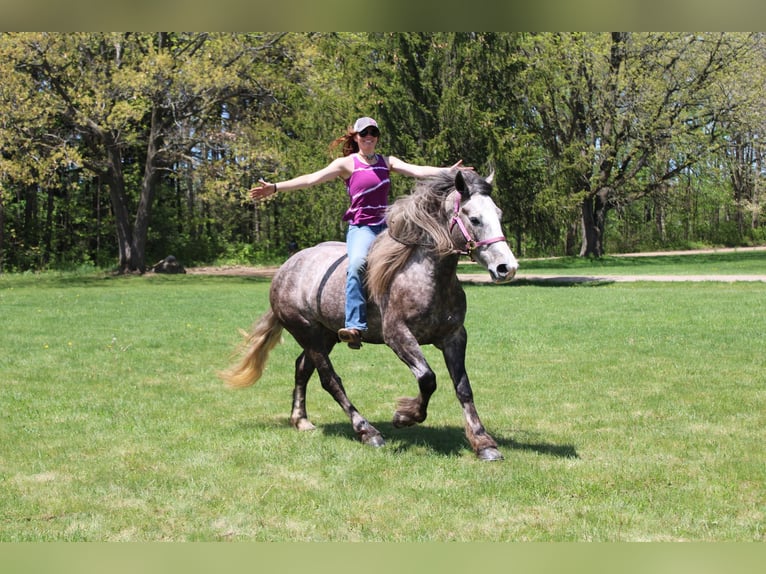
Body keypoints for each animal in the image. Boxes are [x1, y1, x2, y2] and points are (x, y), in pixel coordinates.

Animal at [221, 169, 518, 460]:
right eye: (474, 218)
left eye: (499, 214)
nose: (507, 267)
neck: (427, 275)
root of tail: (285, 269)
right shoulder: (397, 336)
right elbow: (427, 378)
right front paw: (404, 416)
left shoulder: (454, 337)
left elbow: (463, 387)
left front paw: (484, 443)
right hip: (307, 332)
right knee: (330, 380)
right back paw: (367, 431)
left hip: (325, 335)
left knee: (302, 368)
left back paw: (301, 420)